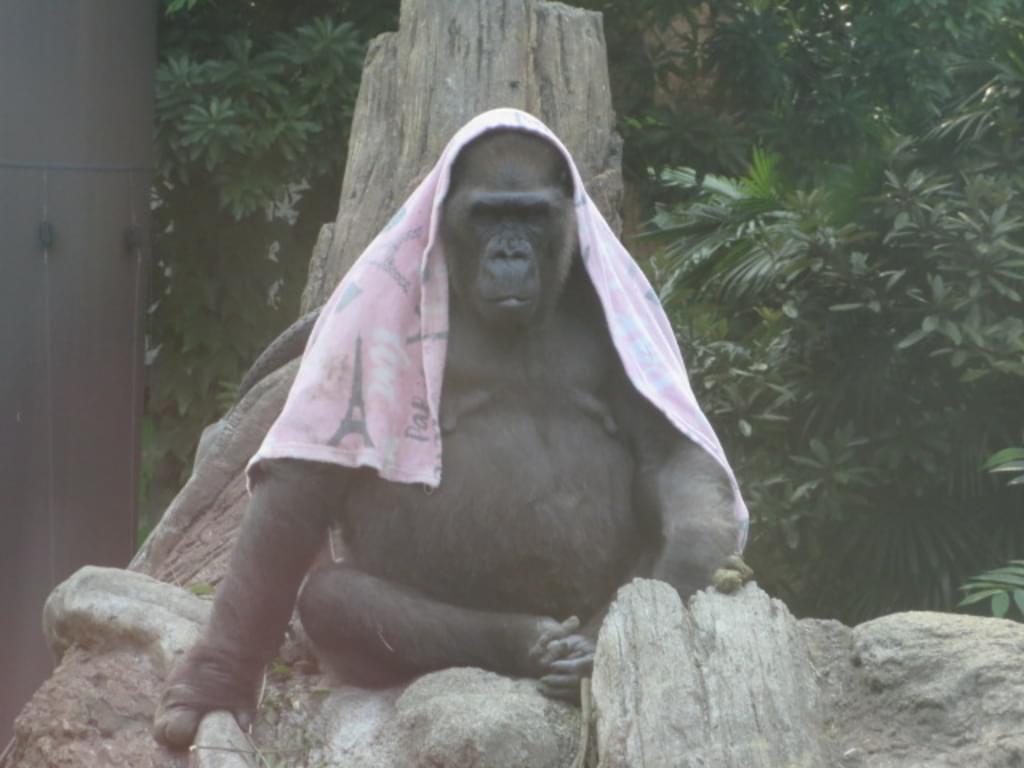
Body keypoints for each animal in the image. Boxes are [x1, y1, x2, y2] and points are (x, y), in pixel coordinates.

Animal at [151, 126, 745, 753]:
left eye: (530, 215)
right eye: (487, 214)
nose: (510, 253)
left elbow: (671, 454)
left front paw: (676, 573)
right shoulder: (358, 307)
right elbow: (299, 486)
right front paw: (213, 682)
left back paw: (585, 644)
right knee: (334, 598)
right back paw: (524, 640)